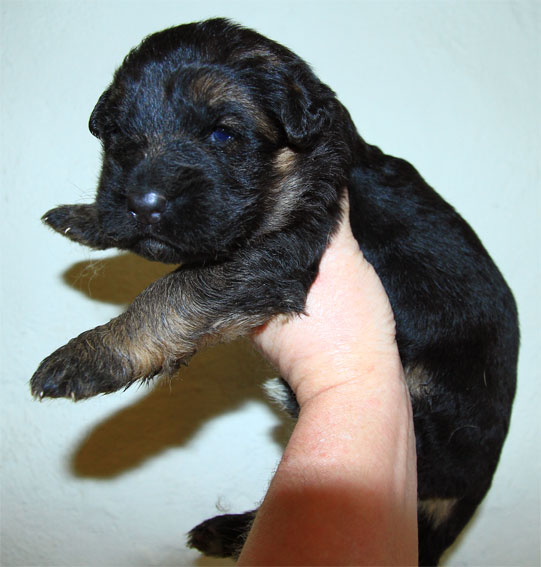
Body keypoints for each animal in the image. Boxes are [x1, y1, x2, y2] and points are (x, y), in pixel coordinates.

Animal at [30, 18, 519, 565]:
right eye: (118, 137)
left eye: (222, 133)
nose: (144, 203)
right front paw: (87, 217)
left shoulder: (278, 253)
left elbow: (175, 290)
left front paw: (91, 354)